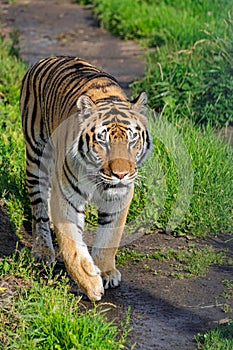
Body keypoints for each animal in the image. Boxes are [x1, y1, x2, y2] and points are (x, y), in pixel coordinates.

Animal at [20, 56, 153, 300]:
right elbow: (71, 245)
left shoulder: (119, 197)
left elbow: (110, 236)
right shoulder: (67, 196)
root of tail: (47, 58)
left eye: (132, 140)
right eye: (102, 141)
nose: (121, 174)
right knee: (39, 208)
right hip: (36, 156)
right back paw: (42, 250)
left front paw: (106, 272)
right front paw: (90, 283)